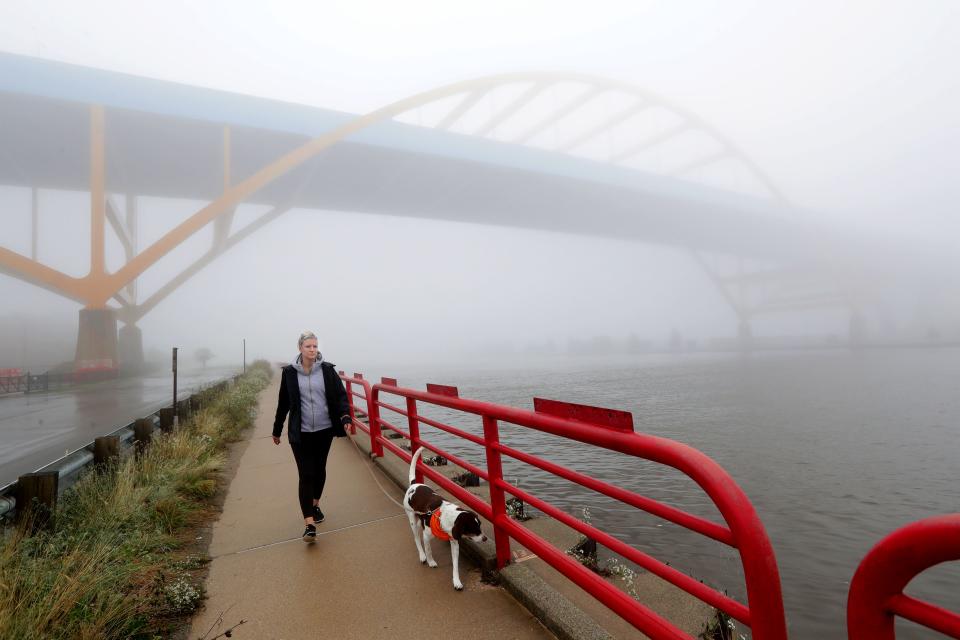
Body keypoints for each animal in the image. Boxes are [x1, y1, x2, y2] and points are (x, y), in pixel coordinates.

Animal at [404, 444, 488, 592]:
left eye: (480, 526)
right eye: (474, 529)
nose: (485, 538)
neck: (445, 517)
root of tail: (414, 485)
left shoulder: (454, 542)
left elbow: (455, 565)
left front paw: (456, 581)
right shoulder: (427, 536)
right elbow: (429, 550)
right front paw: (431, 561)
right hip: (412, 519)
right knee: (417, 539)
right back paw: (422, 556)